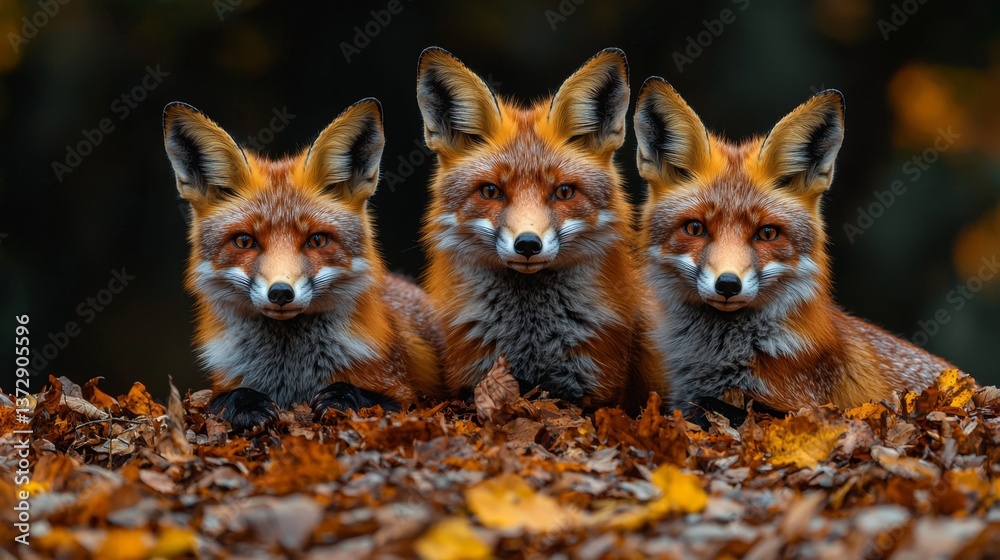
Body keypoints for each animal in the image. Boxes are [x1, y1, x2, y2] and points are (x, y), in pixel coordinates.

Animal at [162, 98, 444, 431]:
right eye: (244, 241)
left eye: (317, 240)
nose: (281, 293)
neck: (291, 375)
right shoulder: (223, 383)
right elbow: (221, 398)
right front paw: (246, 405)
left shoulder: (407, 392)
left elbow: (376, 398)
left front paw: (342, 398)